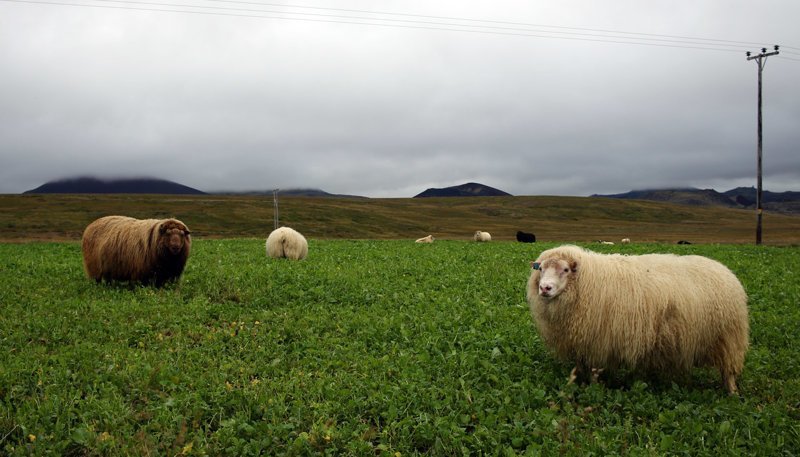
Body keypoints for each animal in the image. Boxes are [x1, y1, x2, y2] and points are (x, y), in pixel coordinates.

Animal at [524, 246, 752, 392]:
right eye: (541, 269)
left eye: (565, 269)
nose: (545, 288)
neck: (587, 282)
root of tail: (726, 271)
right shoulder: (583, 340)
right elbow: (582, 365)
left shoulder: (599, 340)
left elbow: (595, 371)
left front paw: (595, 389)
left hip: (729, 337)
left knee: (729, 371)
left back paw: (732, 393)